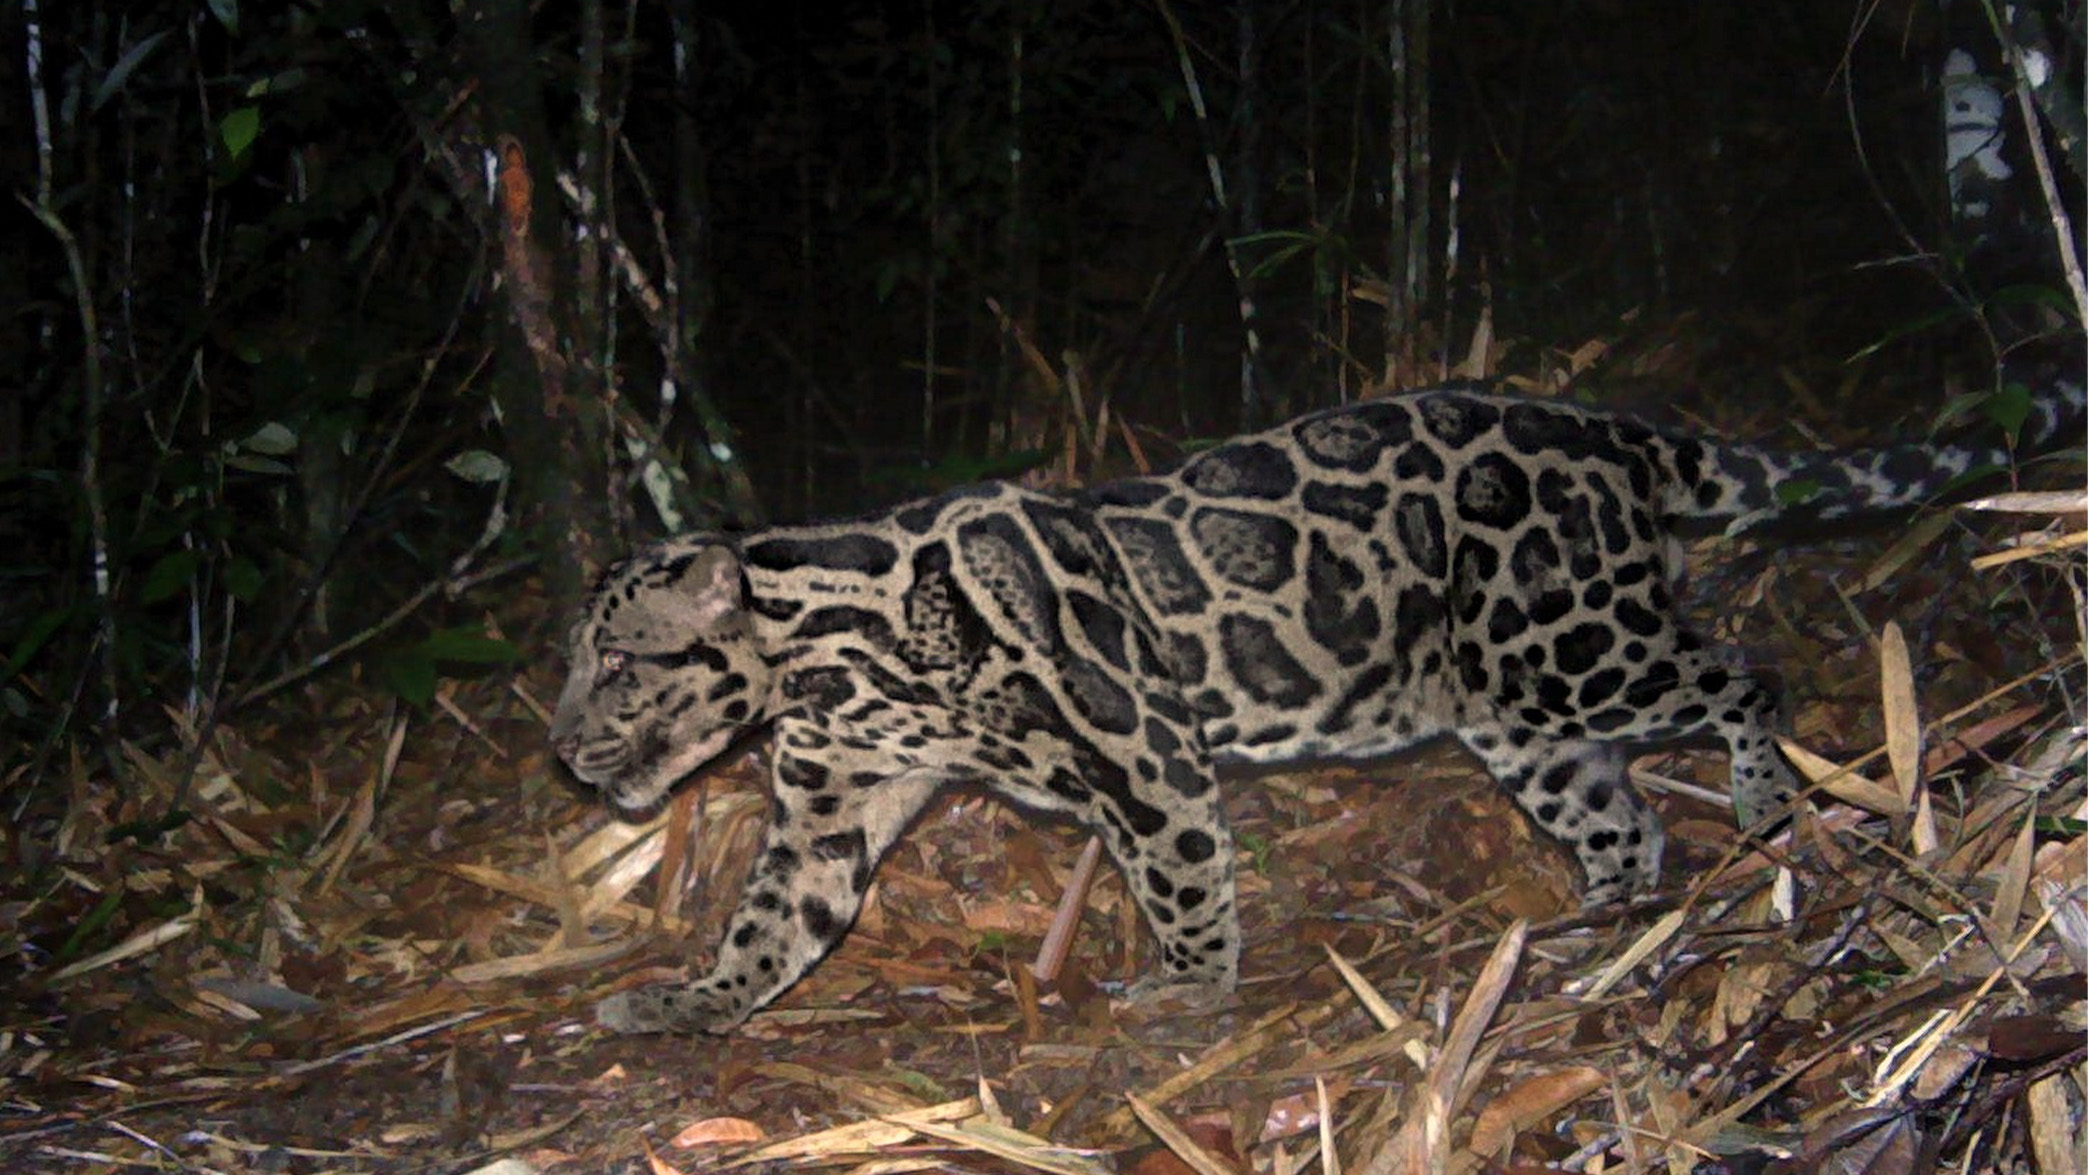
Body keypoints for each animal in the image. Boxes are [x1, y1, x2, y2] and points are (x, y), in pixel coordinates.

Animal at [552, 371, 2083, 1035]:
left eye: (616, 663)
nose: (564, 748)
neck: (838, 650)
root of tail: (1611, 423)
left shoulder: (1143, 744)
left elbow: (1182, 875)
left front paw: (1185, 988)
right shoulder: (828, 807)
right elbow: (775, 922)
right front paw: (694, 997)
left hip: (1572, 641)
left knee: (1741, 673)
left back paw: (1767, 808)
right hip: (1512, 705)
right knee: (1621, 815)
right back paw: (1592, 924)